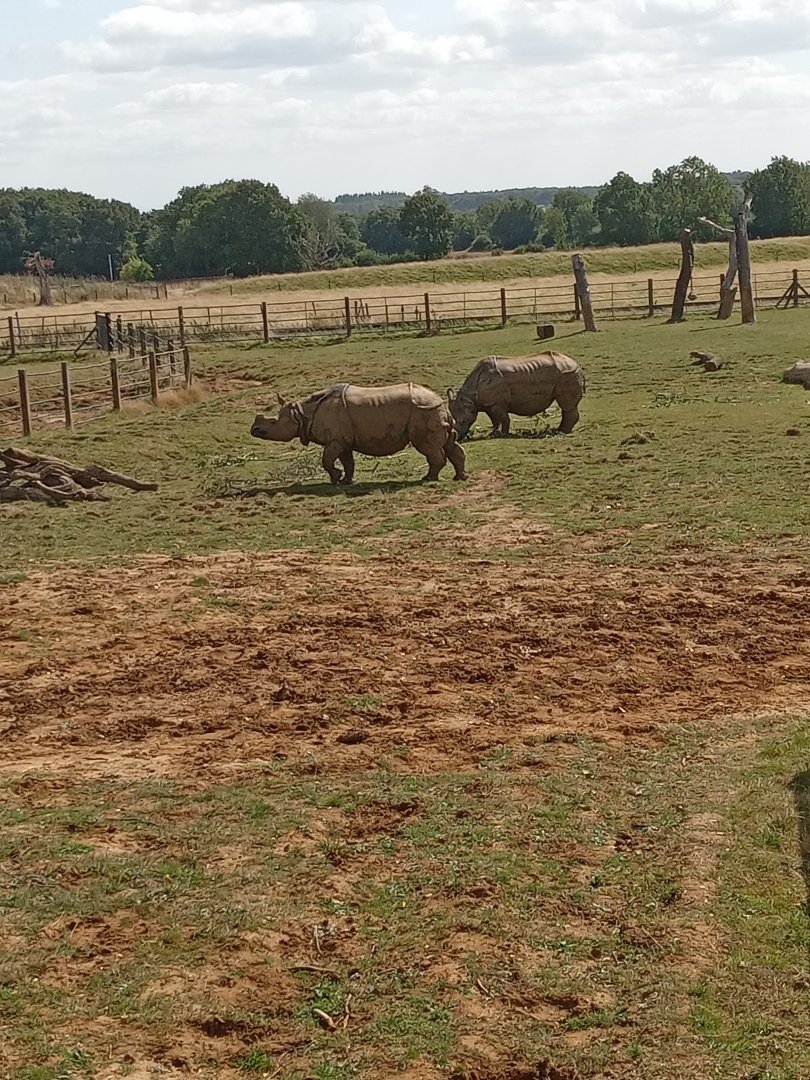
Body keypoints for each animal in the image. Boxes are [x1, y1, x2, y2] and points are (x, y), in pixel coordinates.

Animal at [250, 382, 467, 484]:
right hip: (432, 410)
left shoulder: (335, 440)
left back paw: (428, 479)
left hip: (424, 411)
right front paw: (346, 481)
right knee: (449, 443)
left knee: (428, 447)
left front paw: (336, 479)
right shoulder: (342, 440)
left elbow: (327, 460)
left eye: (272, 423)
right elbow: (348, 462)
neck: (302, 413)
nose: (254, 430)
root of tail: (439, 400)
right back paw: (460, 478)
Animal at [448, 352, 586, 440]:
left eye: (463, 421)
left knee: (566, 405)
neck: (470, 396)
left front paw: (503, 434)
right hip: (565, 372)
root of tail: (575, 363)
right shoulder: (489, 404)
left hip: (566, 373)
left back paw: (560, 431)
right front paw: (494, 433)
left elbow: (504, 419)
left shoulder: (498, 403)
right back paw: (559, 430)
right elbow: (494, 420)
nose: (457, 437)